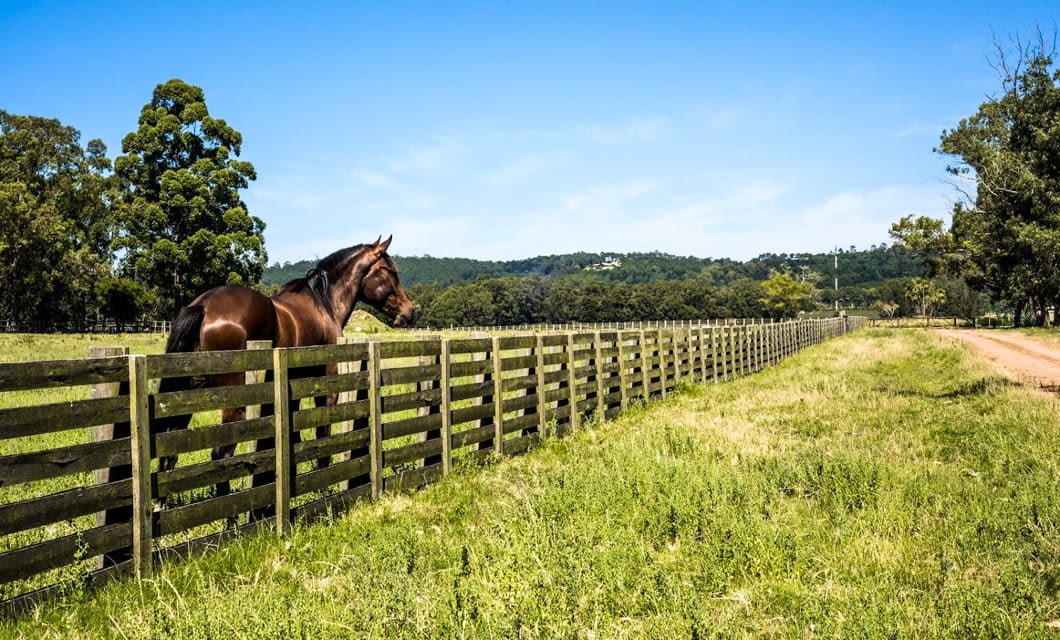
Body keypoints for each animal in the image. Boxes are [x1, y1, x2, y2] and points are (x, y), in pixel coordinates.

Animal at [156, 235, 415, 502]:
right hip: (234, 403)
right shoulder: (327, 389)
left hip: (188, 394)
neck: (324, 304)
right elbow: (323, 436)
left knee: (169, 454)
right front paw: (321, 489)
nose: (409, 311)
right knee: (221, 454)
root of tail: (204, 307)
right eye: (390, 271)